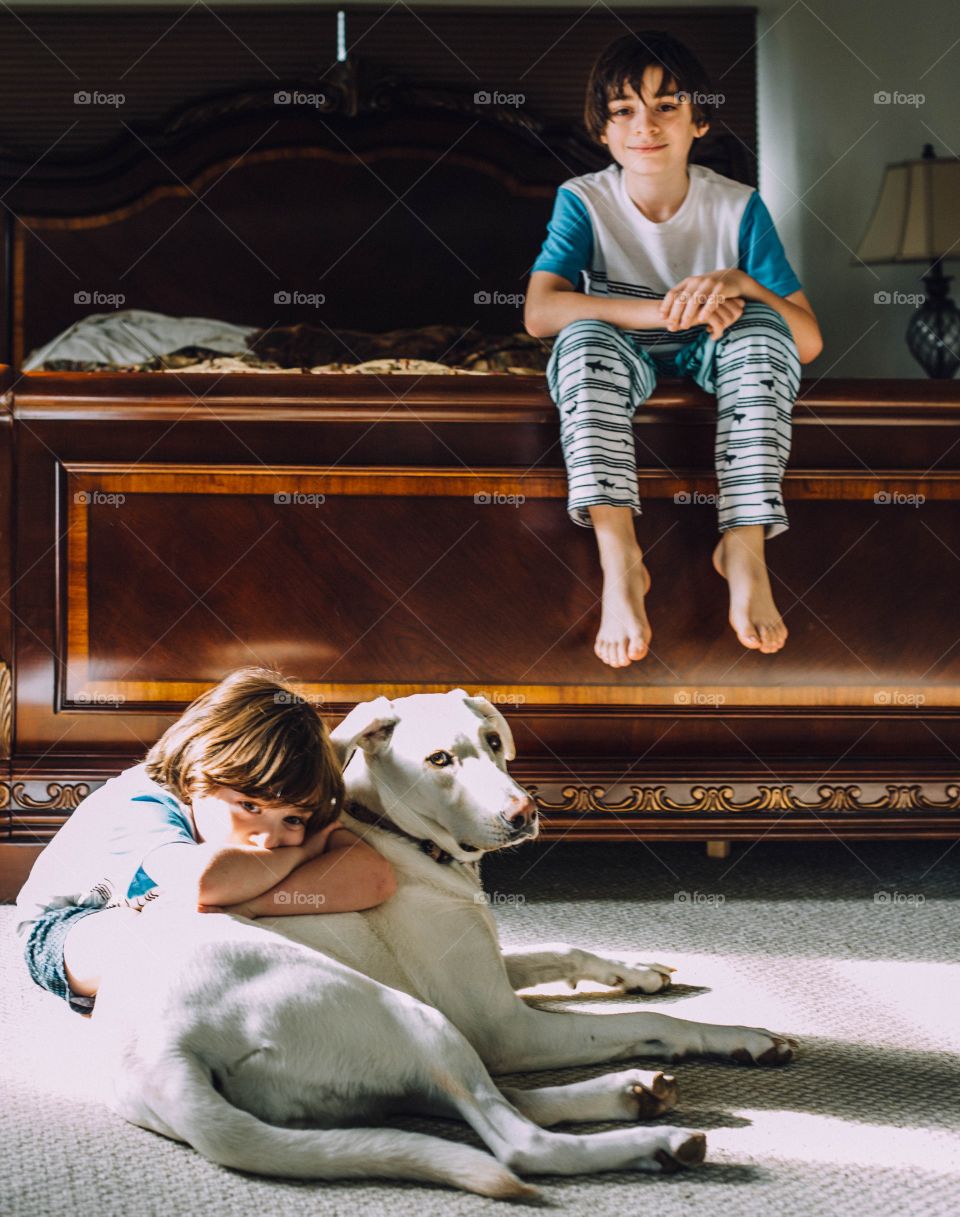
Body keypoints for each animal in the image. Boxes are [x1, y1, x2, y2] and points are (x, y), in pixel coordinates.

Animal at [91, 696, 793, 1197]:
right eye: (438, 760)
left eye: (492, 743)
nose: (525, 813)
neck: (403, 838)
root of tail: (157, 1061)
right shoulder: (504, 1026)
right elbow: (651, 1020)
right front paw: (739, 1034)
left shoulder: (488, 973)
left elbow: (564, 948)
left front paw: (638, 969)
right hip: (413, 1017)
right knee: (518, 1142)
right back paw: (656, 1139)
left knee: (491, 1103)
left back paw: (630, 1093)